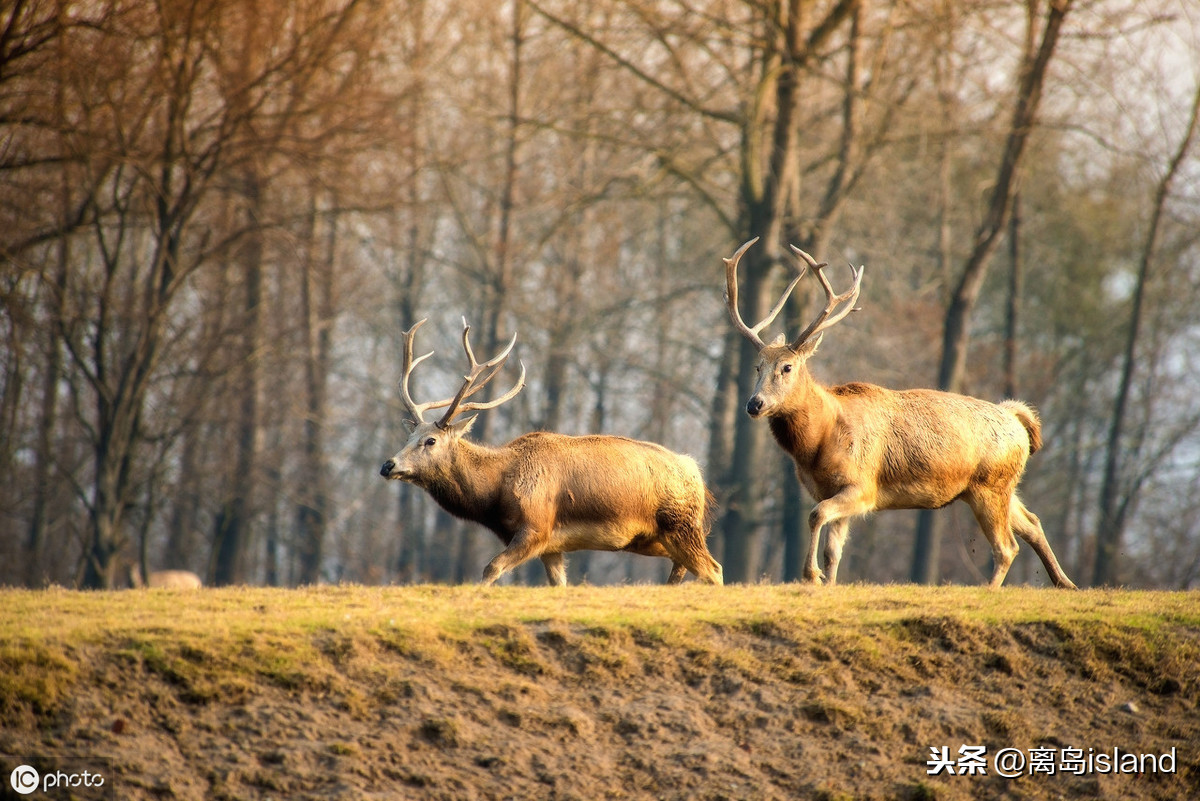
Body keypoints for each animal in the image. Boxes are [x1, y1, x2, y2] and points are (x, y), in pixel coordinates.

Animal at [381, 316, 720, 585]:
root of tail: (697, 475)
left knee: (713, 570)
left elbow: (491, 568)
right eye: (410, 434)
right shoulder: (552, 547)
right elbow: (558, 584)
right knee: (685, 568)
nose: (388, 465)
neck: (497, 492)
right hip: (657, 537)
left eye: (431, 440)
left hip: (681, 526)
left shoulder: (537, 527)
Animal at [720, 237, 1080, 587]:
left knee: (1007, 547)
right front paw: (827, 581)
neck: (819, 443)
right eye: (757, 366)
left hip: (989, 485)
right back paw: (1066, 583)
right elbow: (833, 551)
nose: (754, 404)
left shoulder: (863, 485)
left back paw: (991, 589)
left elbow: (815, 515)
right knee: (1033, 522)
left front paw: (811, 575)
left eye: (787, 367)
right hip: (999, 487)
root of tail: (1018, 420)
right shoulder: (830, 490)